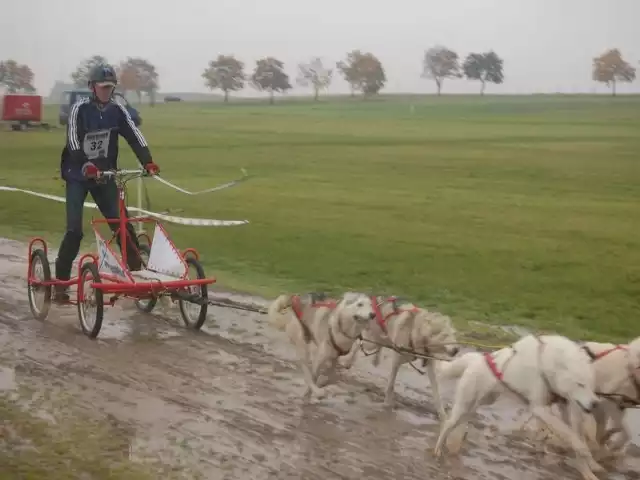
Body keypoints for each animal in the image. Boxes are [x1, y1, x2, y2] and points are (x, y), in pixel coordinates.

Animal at [432, 336, 604, 480]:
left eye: (591, 385)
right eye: (580, 384)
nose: (595, 404)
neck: (547, 364)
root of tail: (478, 358)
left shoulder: (566, 408)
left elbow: (575, 435)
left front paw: (588, 470)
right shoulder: (538, 408)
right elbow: (569, 434)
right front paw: (585, 453)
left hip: (480, 403)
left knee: (460, 423)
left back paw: (455, 445)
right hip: (465, 404)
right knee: (448, 423)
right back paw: (438, 450)